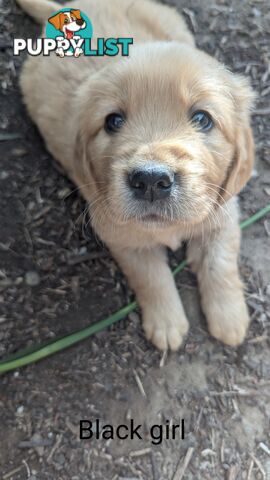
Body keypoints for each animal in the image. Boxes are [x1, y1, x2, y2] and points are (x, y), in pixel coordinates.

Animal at [17, 0, 255, 348]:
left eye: (202, 118)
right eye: (113, 121)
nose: (152, 180)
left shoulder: (223, 210)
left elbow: (221, 262)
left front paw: (230, 318)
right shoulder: (120, 234)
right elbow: (151, 277)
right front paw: (167, 323)